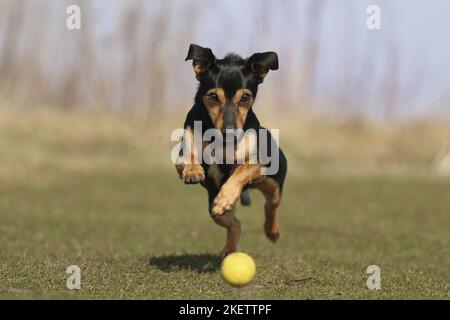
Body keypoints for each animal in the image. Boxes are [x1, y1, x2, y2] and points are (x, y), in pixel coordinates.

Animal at [177, 43, 288, 258]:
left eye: (245, 97)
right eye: (213, 96)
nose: (230, 132)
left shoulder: (256, 163)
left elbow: (240, 172)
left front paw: (226, 196)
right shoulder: (179, 157)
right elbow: (189, 153)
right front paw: (194, 171)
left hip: (273, 185)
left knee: (270, 206)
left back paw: (272, 231)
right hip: (214, 209)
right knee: (235, 224)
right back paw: (228, 250)